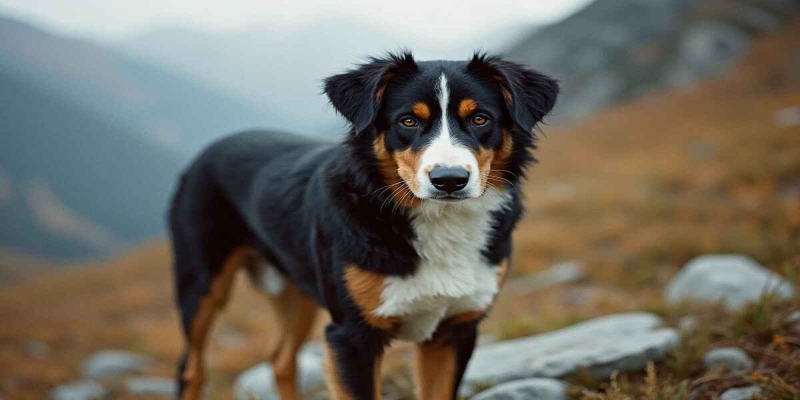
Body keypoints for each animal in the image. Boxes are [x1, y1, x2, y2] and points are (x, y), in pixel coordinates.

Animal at [169, 51, 556, 398]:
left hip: (296, 290)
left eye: (479, 119)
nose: (449, 180)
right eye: (408, 121)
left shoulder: (453, 331)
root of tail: (215, 145)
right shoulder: (352, 337)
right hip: (201, 284)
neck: (437, 221)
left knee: (281, 361)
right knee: (191, 370)